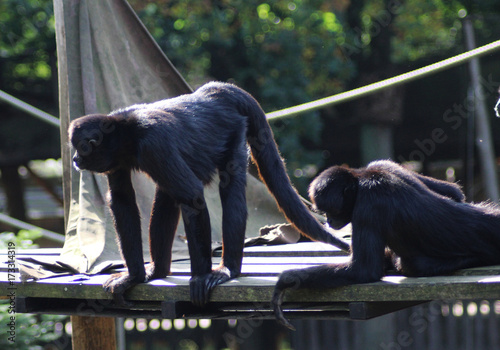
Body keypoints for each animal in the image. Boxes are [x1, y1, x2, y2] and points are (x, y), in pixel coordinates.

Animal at [68, 81, 350, 306]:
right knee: (167, 196)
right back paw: (158, 271)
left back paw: (228, 270)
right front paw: (133, 276)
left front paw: (201, 277)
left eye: (81, 148)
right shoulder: (118, 159)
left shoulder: (154, 145)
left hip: (234, 133)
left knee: (227, 190)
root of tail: (217, 92)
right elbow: (122, 199)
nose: (74, 159)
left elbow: (192, 195)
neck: (128, 130)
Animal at [274, 160, 500, 330]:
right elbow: (454, 191)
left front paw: (287, 279)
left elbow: (364, 270)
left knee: (410, 264)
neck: (363, 177)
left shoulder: (368, 204)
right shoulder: (383, 164)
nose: (329, 221)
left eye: (331, 211)